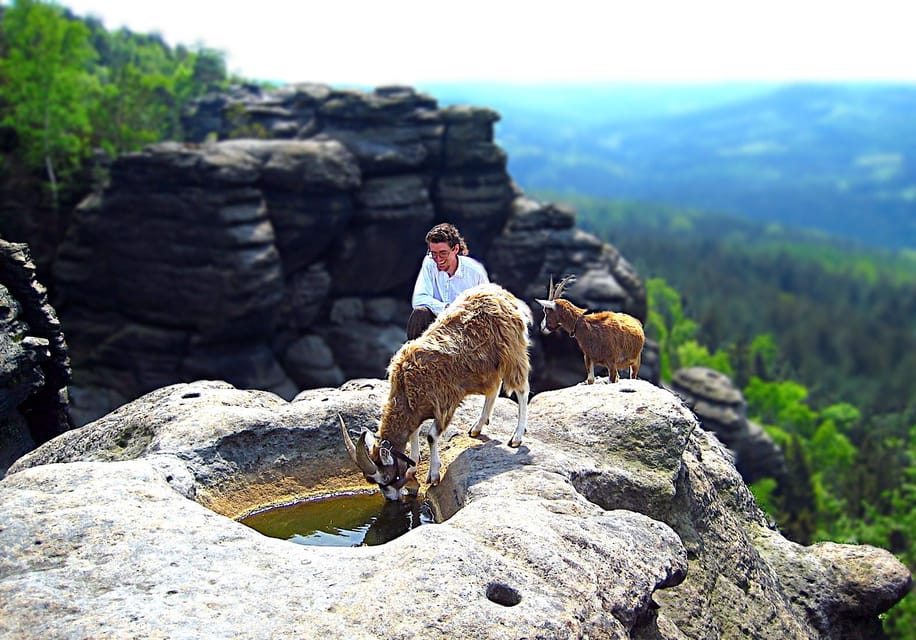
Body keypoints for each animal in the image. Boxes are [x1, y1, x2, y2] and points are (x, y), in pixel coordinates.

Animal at [342, 284, 528, 500]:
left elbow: (431, 436)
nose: (390, 499)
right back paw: (478, 427)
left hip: (512, 352)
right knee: (494, 387)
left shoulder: (446, 402)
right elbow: (414, 432)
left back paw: (516, 437)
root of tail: (500, 293)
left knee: (522, 389)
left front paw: (433, 475)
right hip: (489, 365)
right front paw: (413, 465)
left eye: (386, 477)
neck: (406, 387)